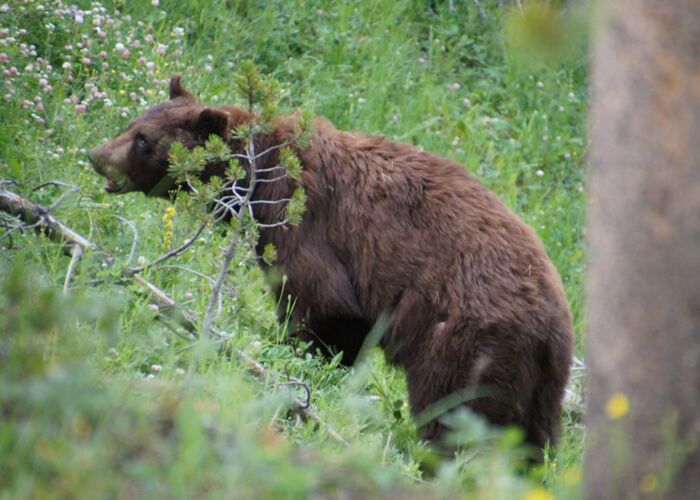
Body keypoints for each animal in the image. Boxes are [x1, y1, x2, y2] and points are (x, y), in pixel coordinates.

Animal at [87, 75, 572, 454]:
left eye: (143, 139)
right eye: (130, 125)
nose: (96, 154)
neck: (258, 170)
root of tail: (554, 325)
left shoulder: (303, 215)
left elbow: (322, 303)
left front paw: (298, 366)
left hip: (464, 341)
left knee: (454, 413)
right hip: (540, 387)